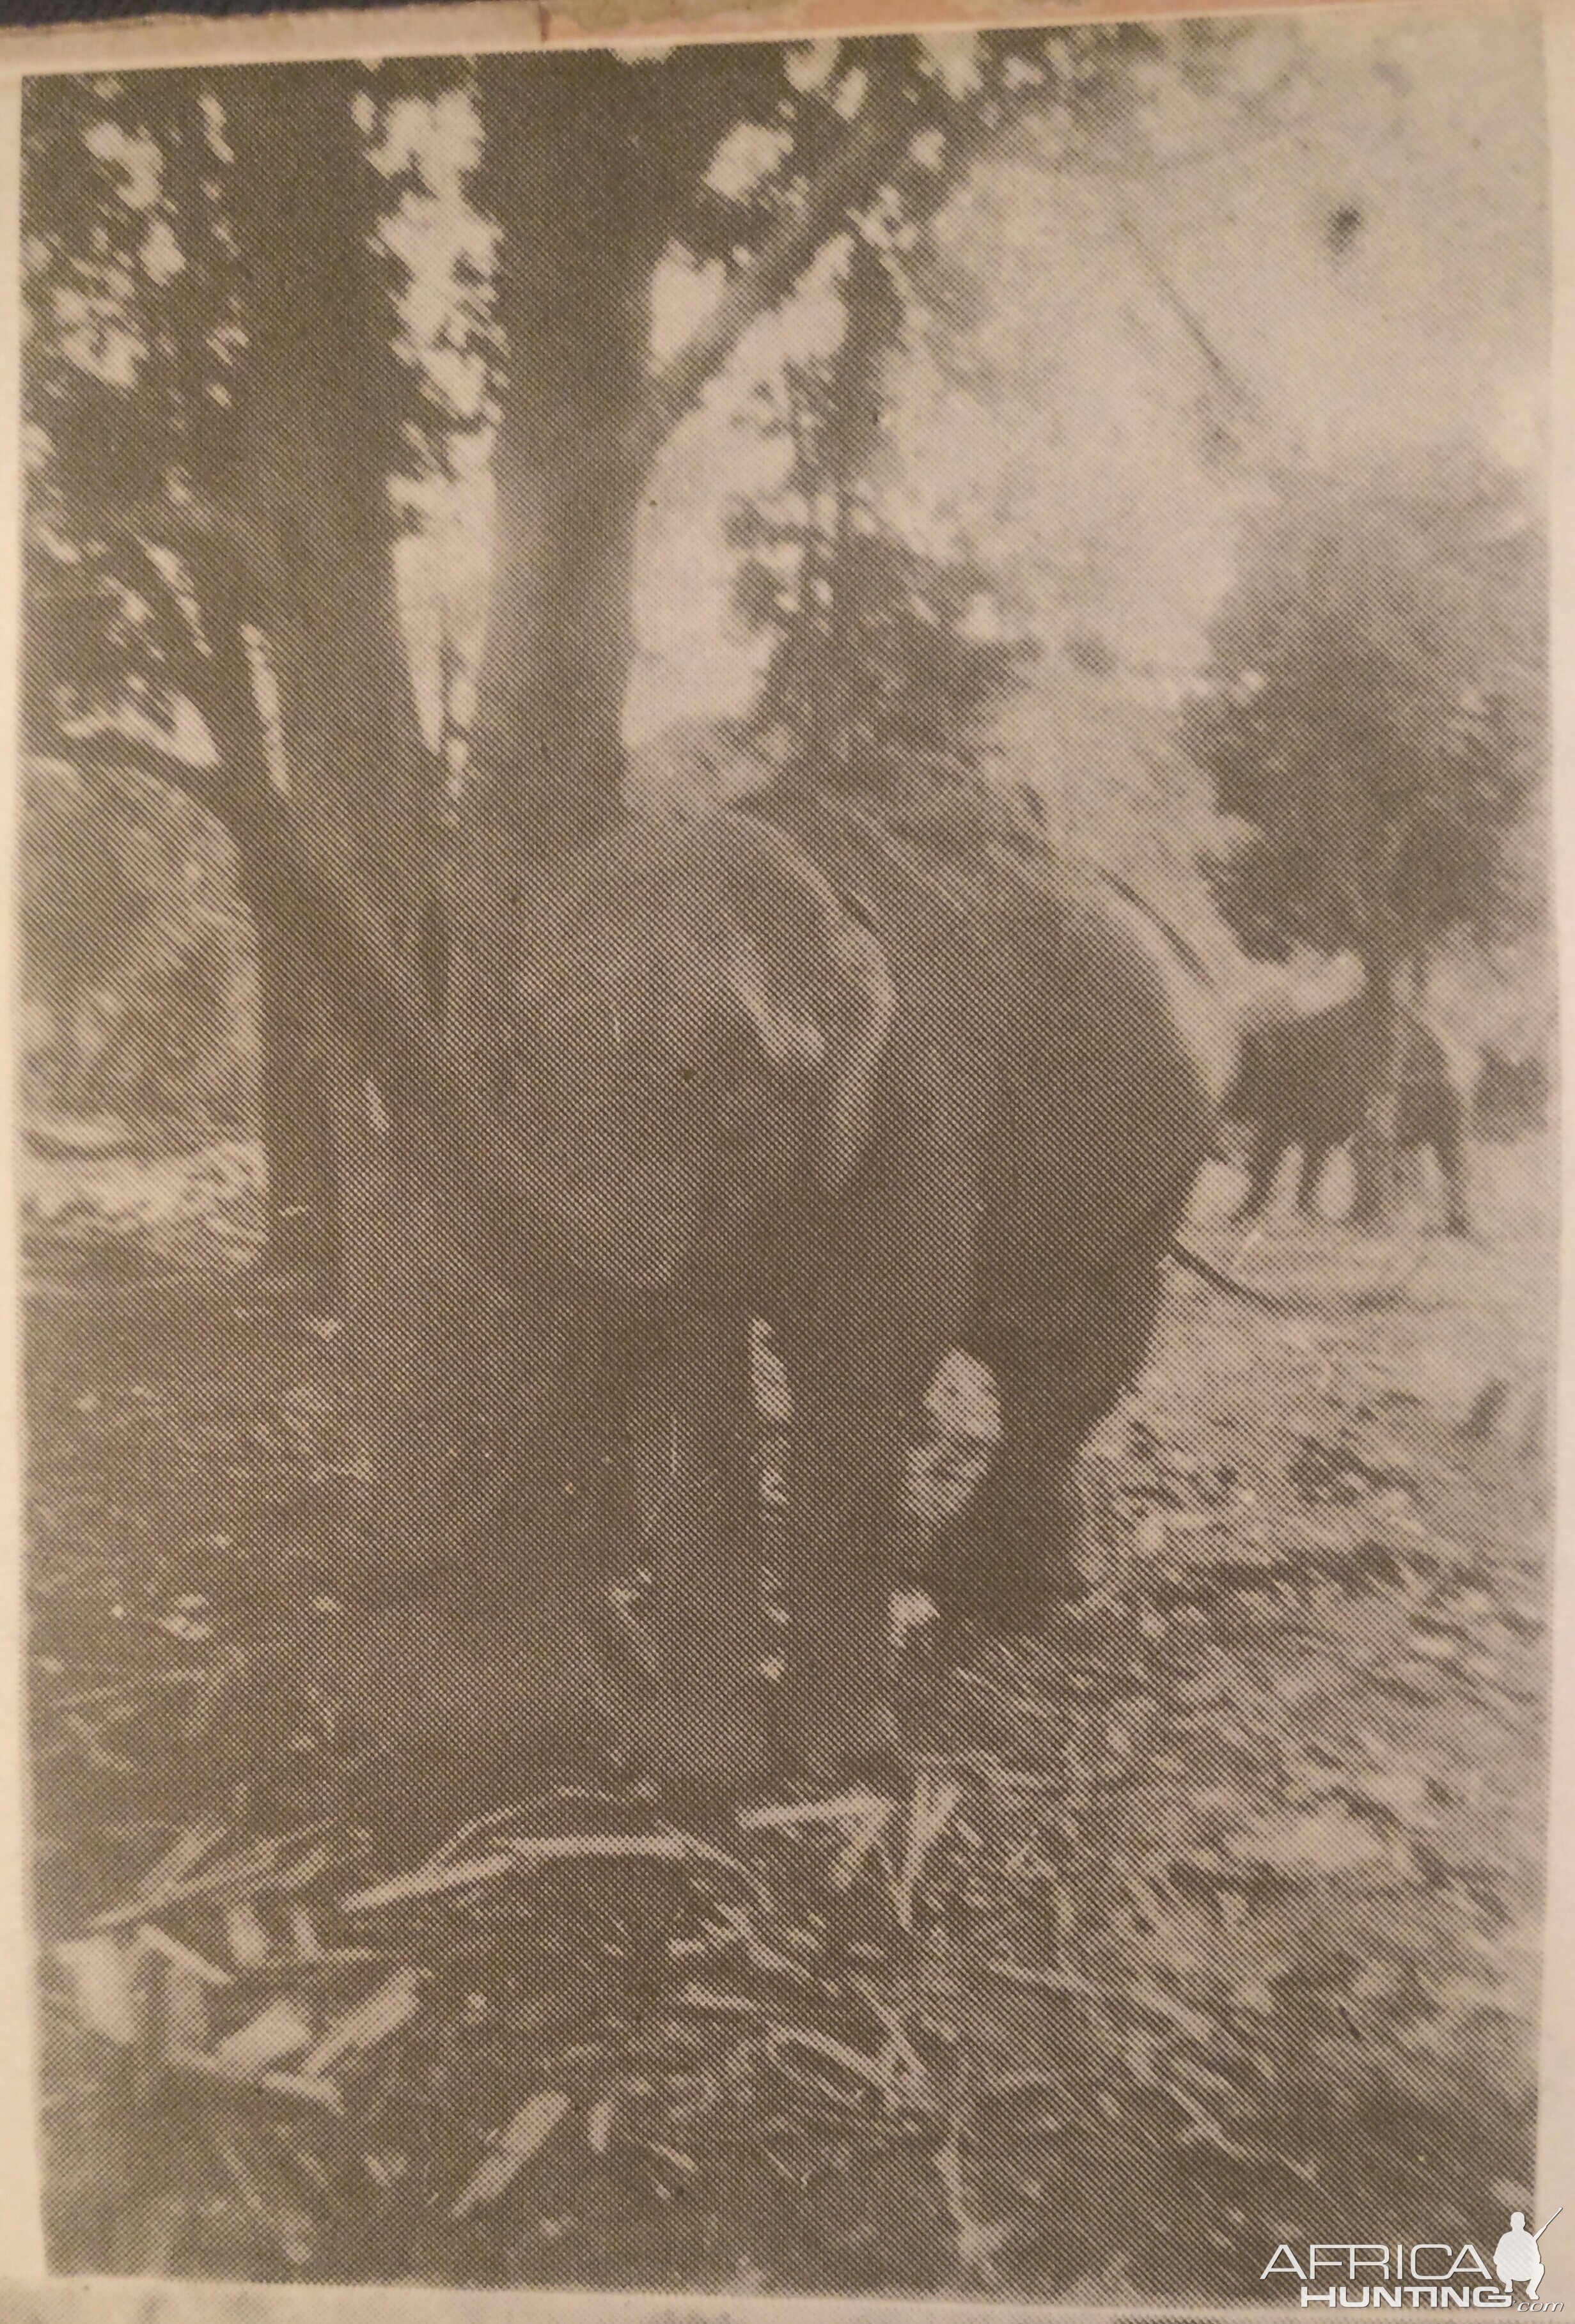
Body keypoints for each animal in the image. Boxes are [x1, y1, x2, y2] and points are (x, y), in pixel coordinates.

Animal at [443, 790, 1235, 1784]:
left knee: (1086, 1353)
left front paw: (838, 1762)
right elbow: (690, 1363)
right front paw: (704, 1768)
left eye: (729, 1078)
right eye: (517, 1050)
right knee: (1028, 1349)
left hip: (1169, 1163)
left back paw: (989, 1586)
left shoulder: (914, 1107)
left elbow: (868, 1355)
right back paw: (1009, 1577)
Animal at [1226, 985, 1477, 1236]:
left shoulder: (1294, 1126)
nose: (1229, 1105)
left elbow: (1276, 1165)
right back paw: (1452, 1224)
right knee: (1449, 1168)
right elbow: (1306, 1168)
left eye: (1246, 1068)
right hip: (1439, 1129)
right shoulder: (1313, 1131)